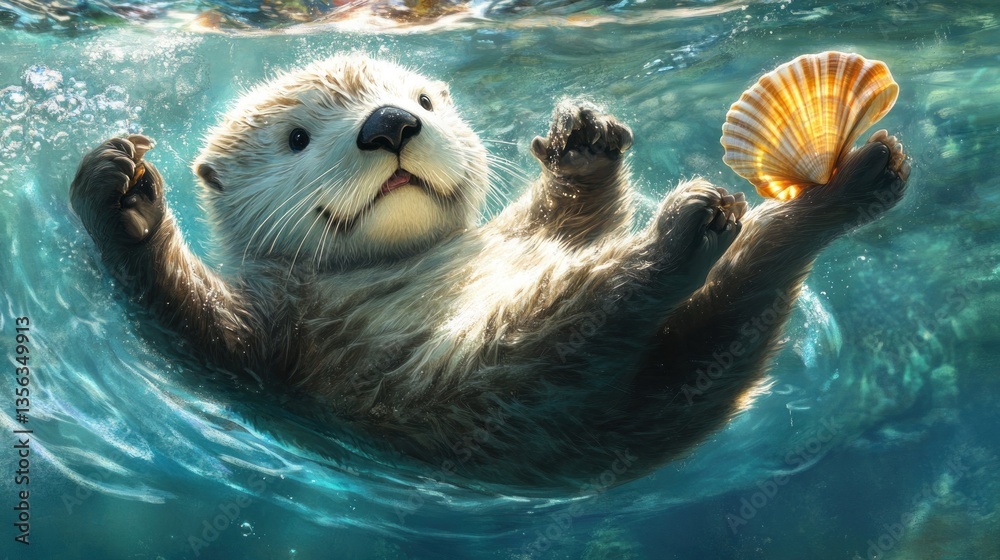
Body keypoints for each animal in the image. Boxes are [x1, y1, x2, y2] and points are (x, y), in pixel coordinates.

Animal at [70, 54, 909, 491]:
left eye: (422, 98)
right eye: (297, 138)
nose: (390, 123)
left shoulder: (513, 231)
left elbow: (564, 219)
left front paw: (583, 142)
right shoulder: (283, 342)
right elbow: (195, 325)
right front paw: (120, 192)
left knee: (761, 266)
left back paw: (862, 177)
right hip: (510, 367)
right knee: (611, 299)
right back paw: (690, 225)